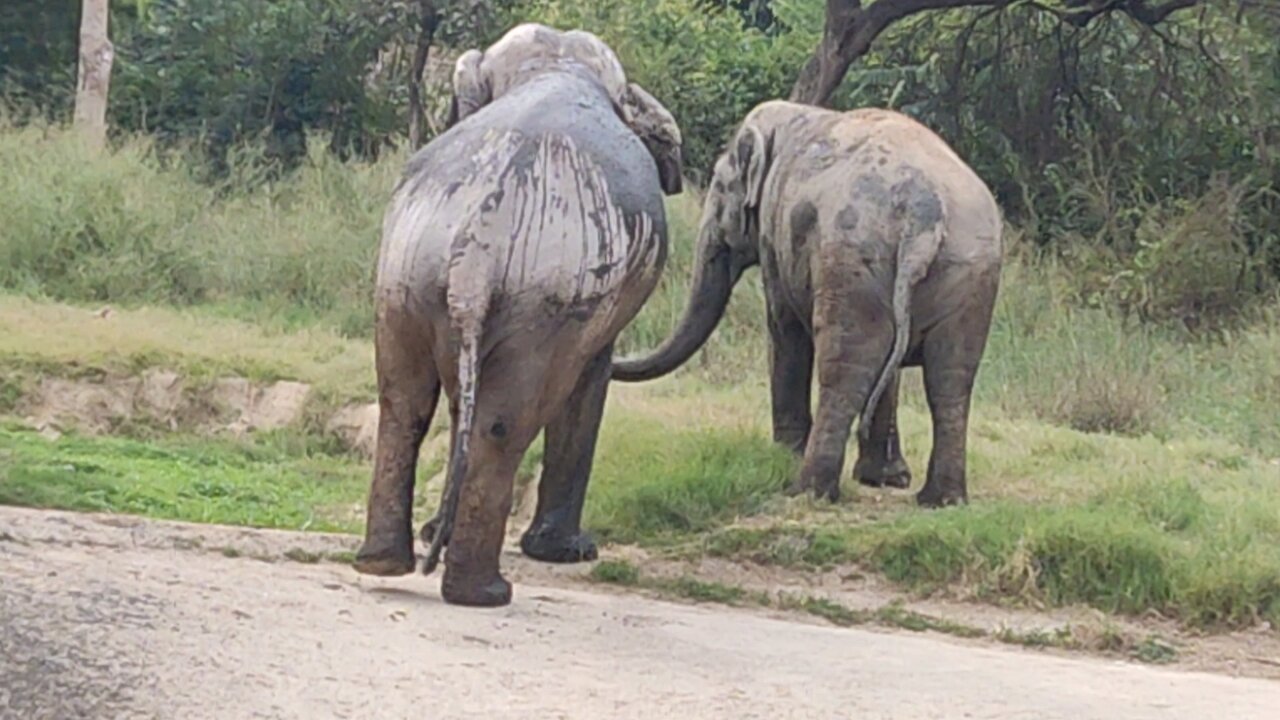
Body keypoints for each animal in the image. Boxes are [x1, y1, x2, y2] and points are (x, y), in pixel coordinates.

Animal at [350, 23, 686, 604]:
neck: (556, 65)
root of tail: (475, 249)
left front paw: (435, 535)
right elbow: (590, 377)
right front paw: (571, 553)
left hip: (406, 276)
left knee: (404, 401)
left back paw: (385, 563)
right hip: (544, 303)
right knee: (504, 422)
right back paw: (484, 593)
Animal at [614, 99, 1003, 504]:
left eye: (719, 188)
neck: (792, 114)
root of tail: (924, 213)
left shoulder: (775, 235)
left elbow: (784, 327)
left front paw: (784, 457)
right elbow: (891, 364)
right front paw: (886, 479)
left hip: (853, 263)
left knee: (845, 370)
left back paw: (808, 489)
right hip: (969, 270)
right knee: (950, 379)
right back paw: (941, 499)